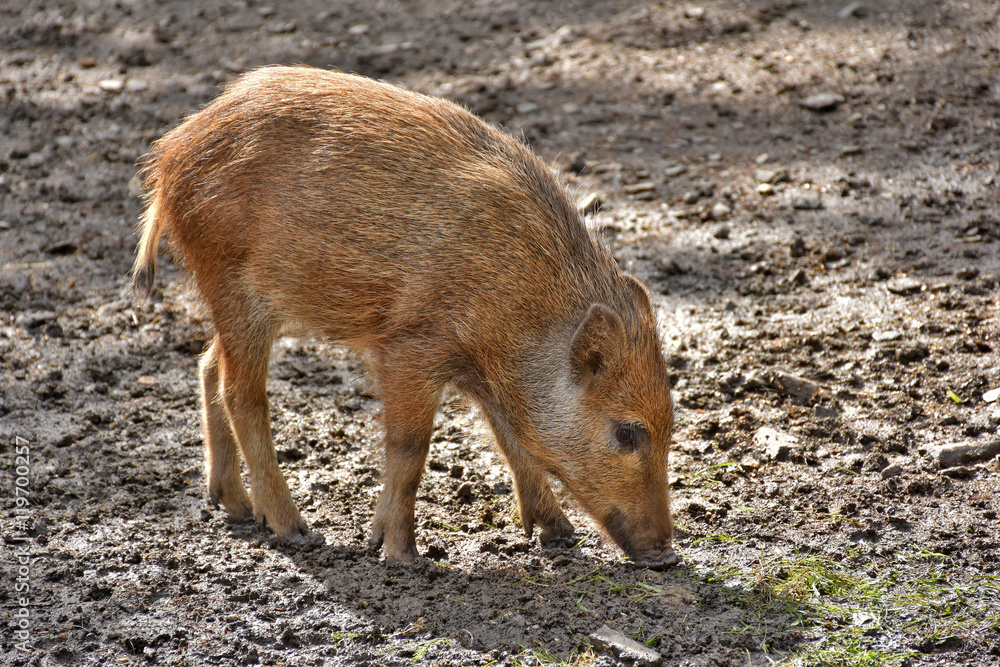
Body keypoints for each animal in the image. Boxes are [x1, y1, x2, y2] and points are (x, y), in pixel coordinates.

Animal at [132, 65, 677, 567]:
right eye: (627, 432)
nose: (666, 556)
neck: (524, 308)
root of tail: (169, 156)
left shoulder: (481, 371)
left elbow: (512, 441)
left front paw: (559, 536)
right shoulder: (413, 346)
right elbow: (411, 448)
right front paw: (400, 556)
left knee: (207, 364)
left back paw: (236, 507)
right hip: (235, 288)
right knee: (242, 395)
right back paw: (297, 531)